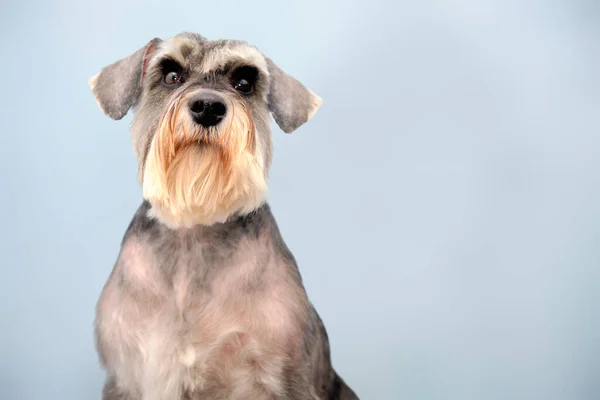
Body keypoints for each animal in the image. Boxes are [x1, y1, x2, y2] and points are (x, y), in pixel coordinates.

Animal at [88, 32, 358, 400]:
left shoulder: (283, 380)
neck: (196, 225)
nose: (208, 107)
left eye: (244, 83)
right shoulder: (128, 376)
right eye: (171, 75)